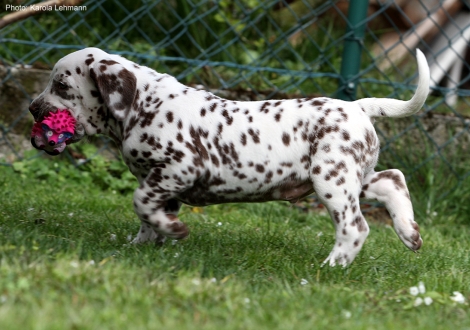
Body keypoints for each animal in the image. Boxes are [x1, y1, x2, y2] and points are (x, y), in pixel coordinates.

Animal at [29, 47, 430, 266]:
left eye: (61, 85)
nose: (32, 108)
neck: (144, 103)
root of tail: (358, 106)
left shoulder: (177, 169)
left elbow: (140, 202)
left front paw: (173, 230)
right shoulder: (160, 183)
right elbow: (147, 216)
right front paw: (143, 244)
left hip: (331, 177)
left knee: (355, 226)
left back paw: (332, 265)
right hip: (353, 176)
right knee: (393, 179)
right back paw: (409, 232)